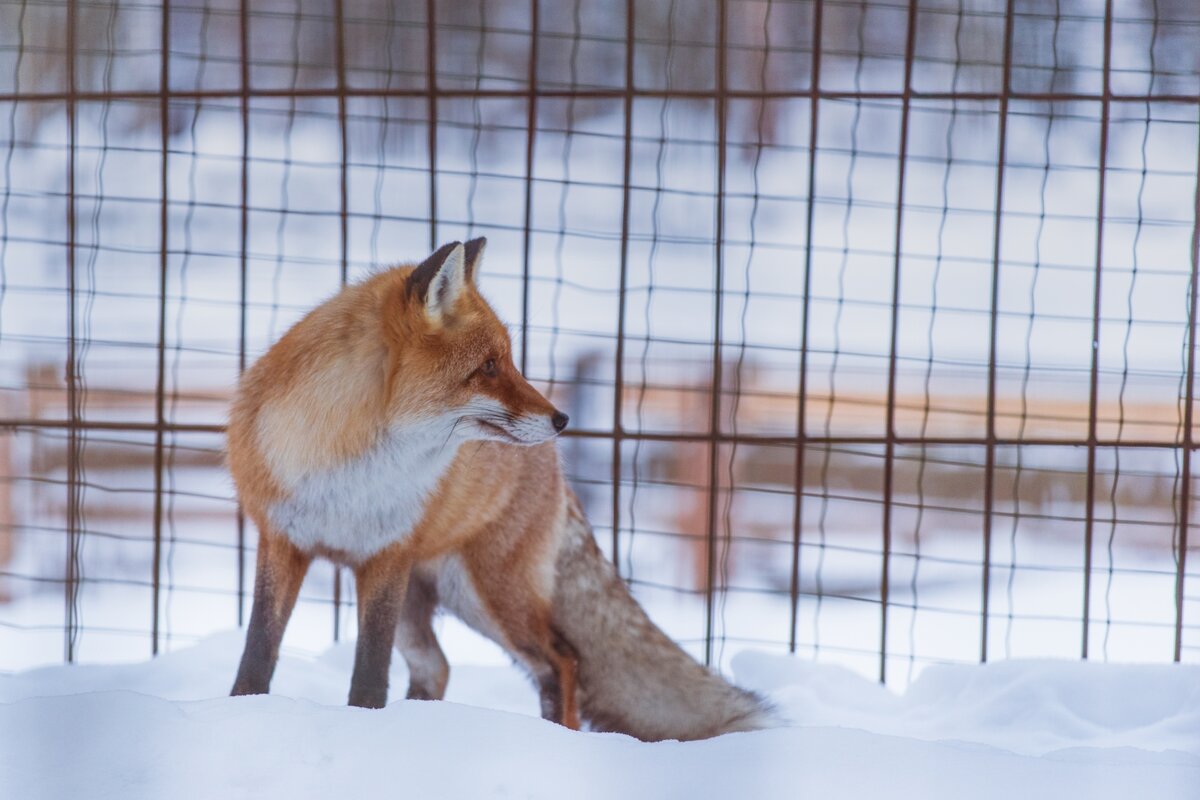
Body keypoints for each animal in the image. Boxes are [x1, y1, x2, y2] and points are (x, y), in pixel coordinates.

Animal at [226, 237, 768, 738]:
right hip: (425, 599)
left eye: (507, 361)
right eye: (488, 366)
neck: (349, 469)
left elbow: (369, 677)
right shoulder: (282, 541)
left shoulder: (384, 557)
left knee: (563, 660)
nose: (562, 419)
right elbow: (257, 653)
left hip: (486, 594)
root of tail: (558, 472)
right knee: (439, 665)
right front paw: (243, 712)